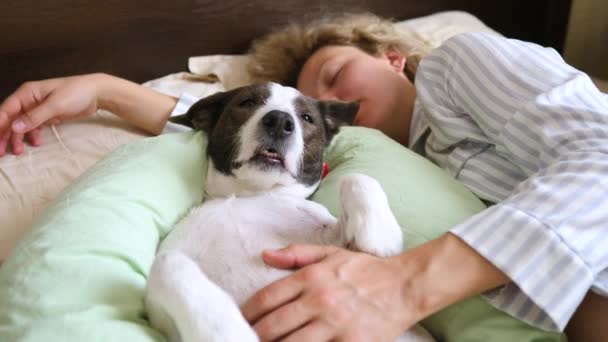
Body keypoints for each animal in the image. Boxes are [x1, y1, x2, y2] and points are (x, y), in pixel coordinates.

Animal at [145, 83, 434, 342]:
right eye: (248, 102)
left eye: (306, 117)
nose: (280, 120)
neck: (250, 195)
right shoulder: (161, 317)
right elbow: (168, 263)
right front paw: (226, 332)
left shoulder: (333, 243)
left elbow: (357, 178)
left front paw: (380, 238)